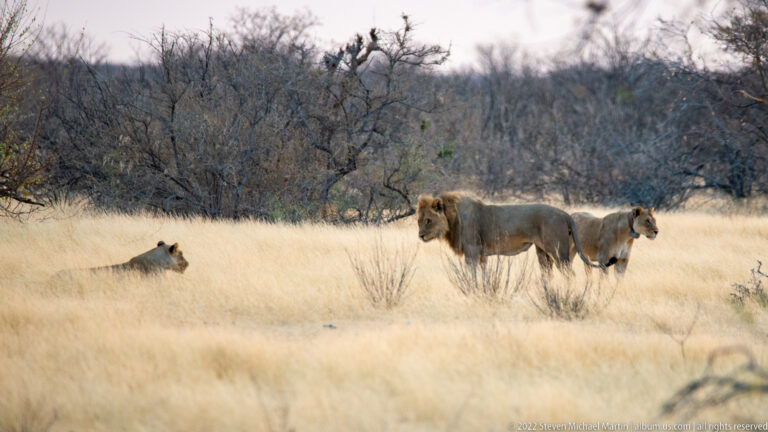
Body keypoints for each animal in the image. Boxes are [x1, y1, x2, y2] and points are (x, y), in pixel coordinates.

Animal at [417, 192, 600, 275]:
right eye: (419, 220)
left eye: (428, 220)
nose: (420, 236)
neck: (452, 218)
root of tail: (566, 214)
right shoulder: (482, 254)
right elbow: (484, 275)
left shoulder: (472, 251)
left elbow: (472, 275)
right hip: (543, 252)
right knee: (548, 274)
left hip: (558, 251)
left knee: (569, 274)